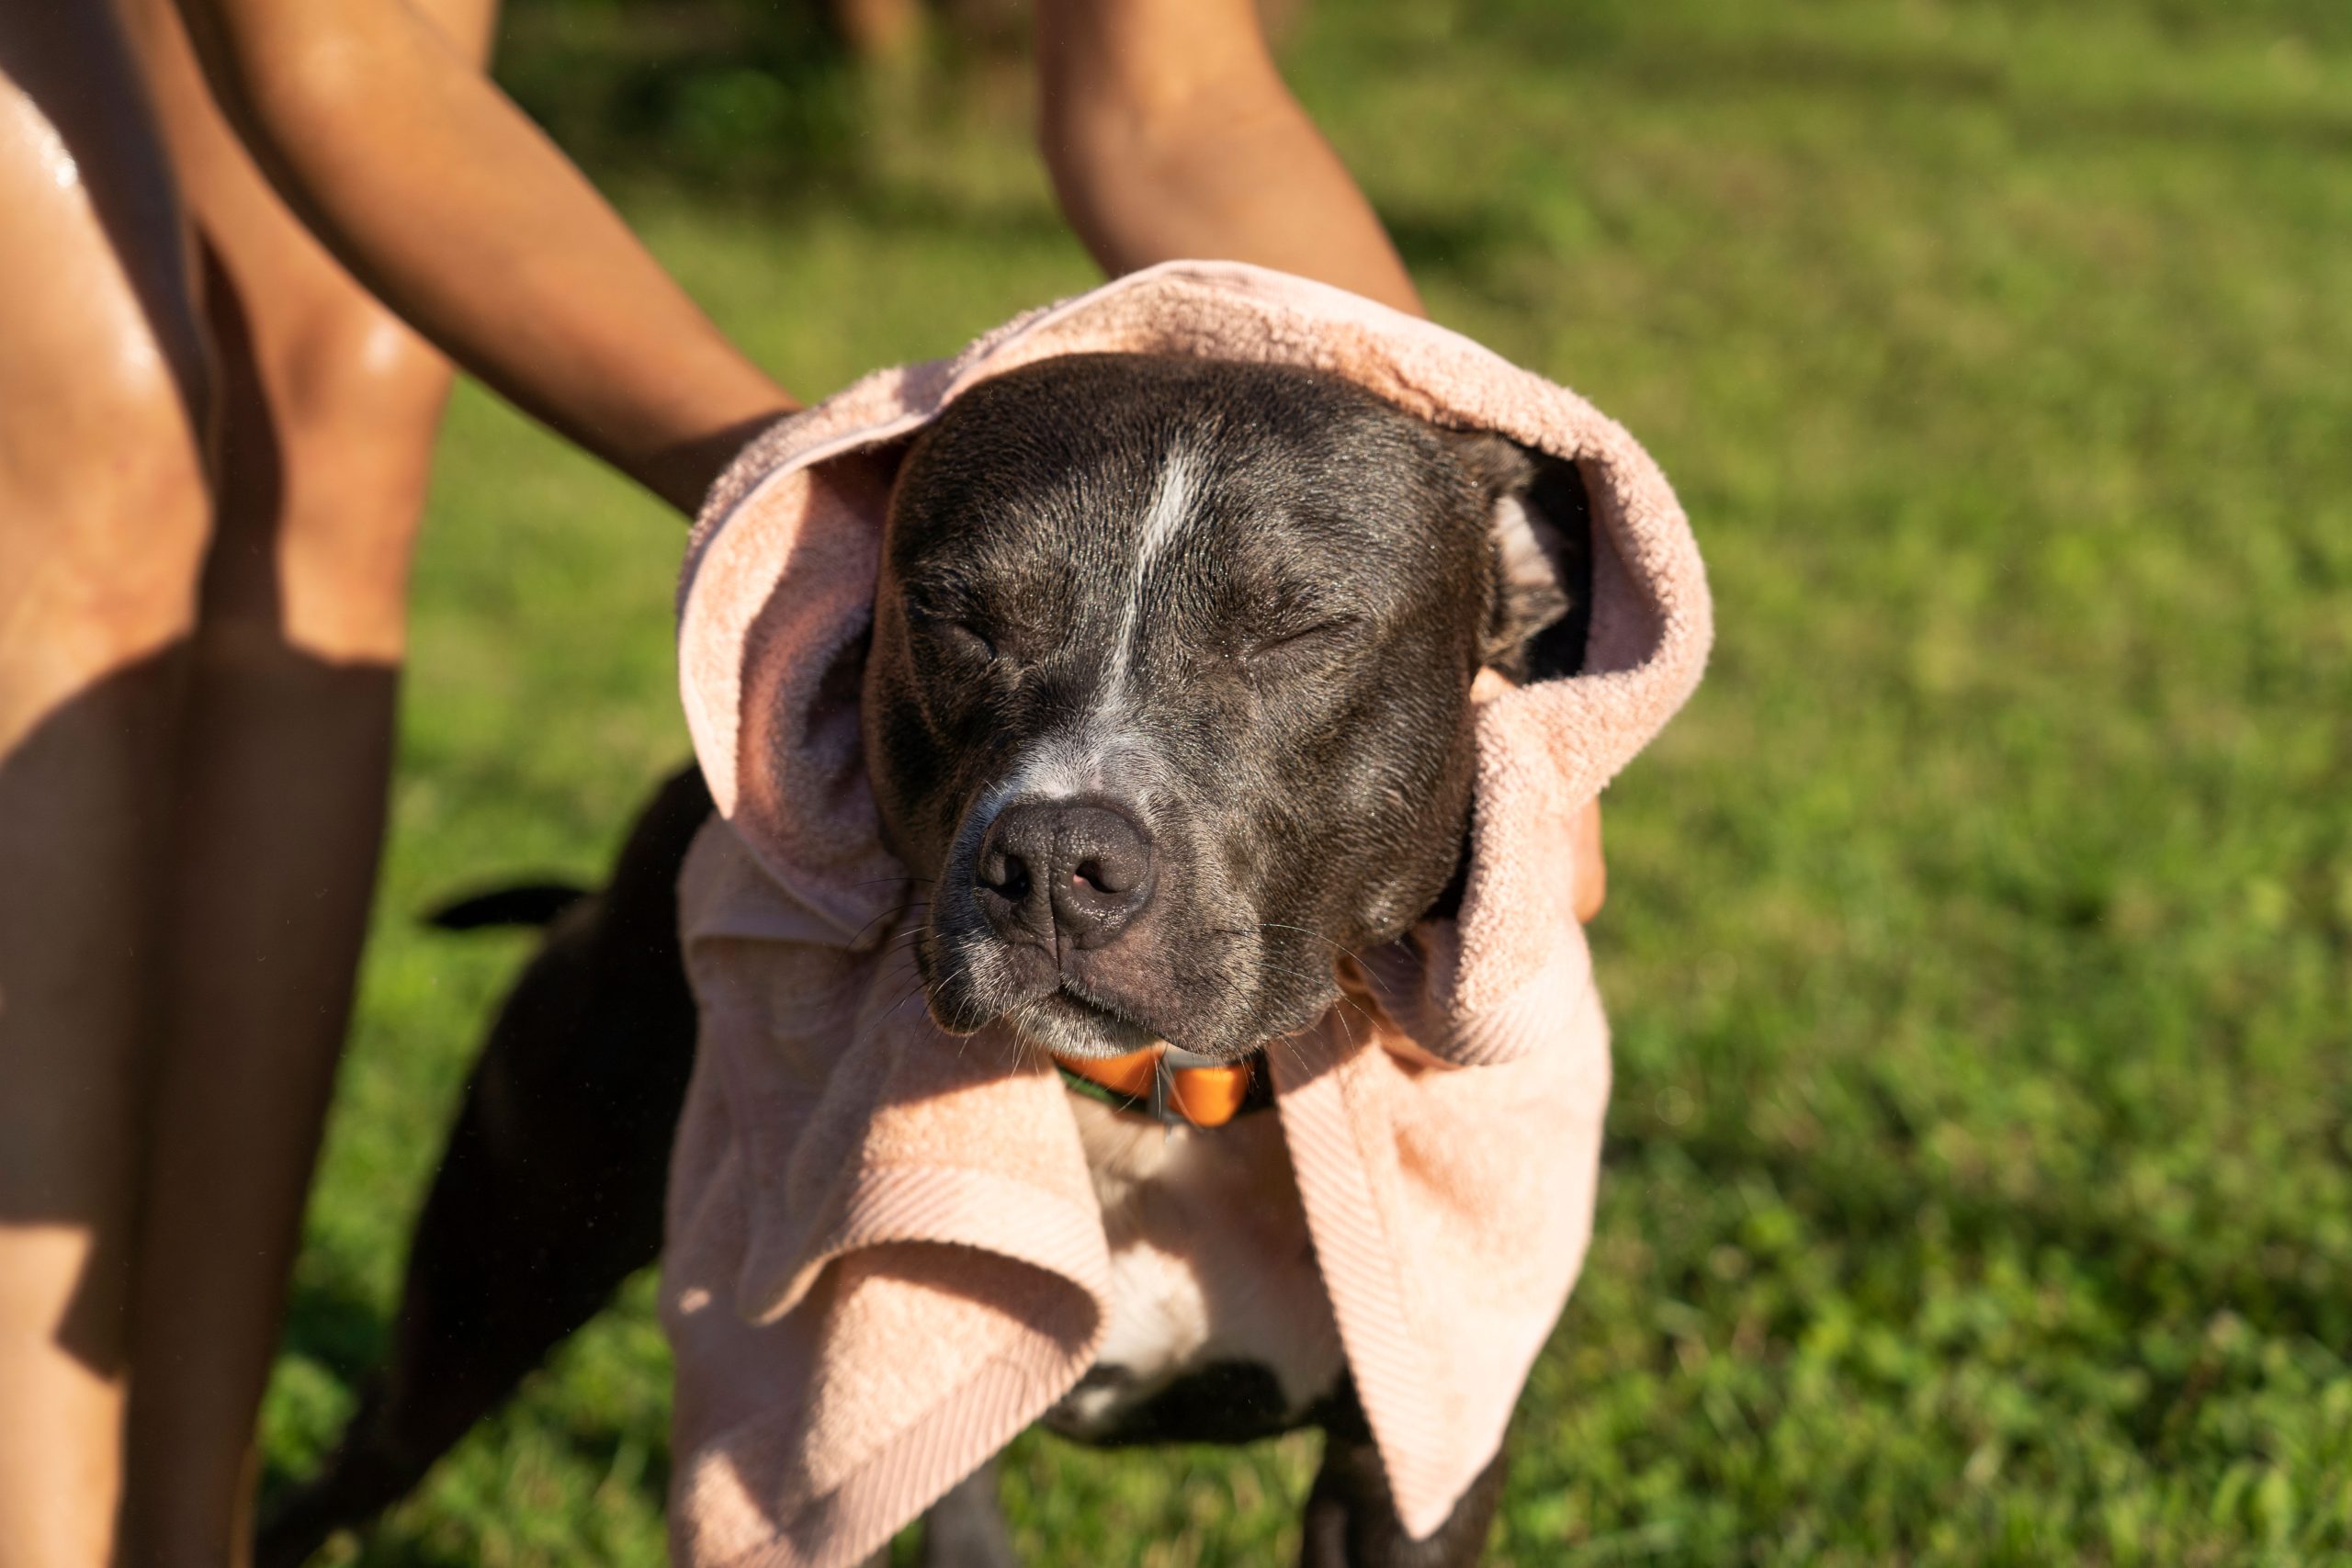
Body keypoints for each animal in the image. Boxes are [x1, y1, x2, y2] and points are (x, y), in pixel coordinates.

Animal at [262, 355, 1599, 1568]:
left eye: (1301, 629)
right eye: (957, 617)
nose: (1056, 857)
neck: (1153, 1113)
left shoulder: (1414, 1466)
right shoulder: (829, 1449)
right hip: (488, 1292)